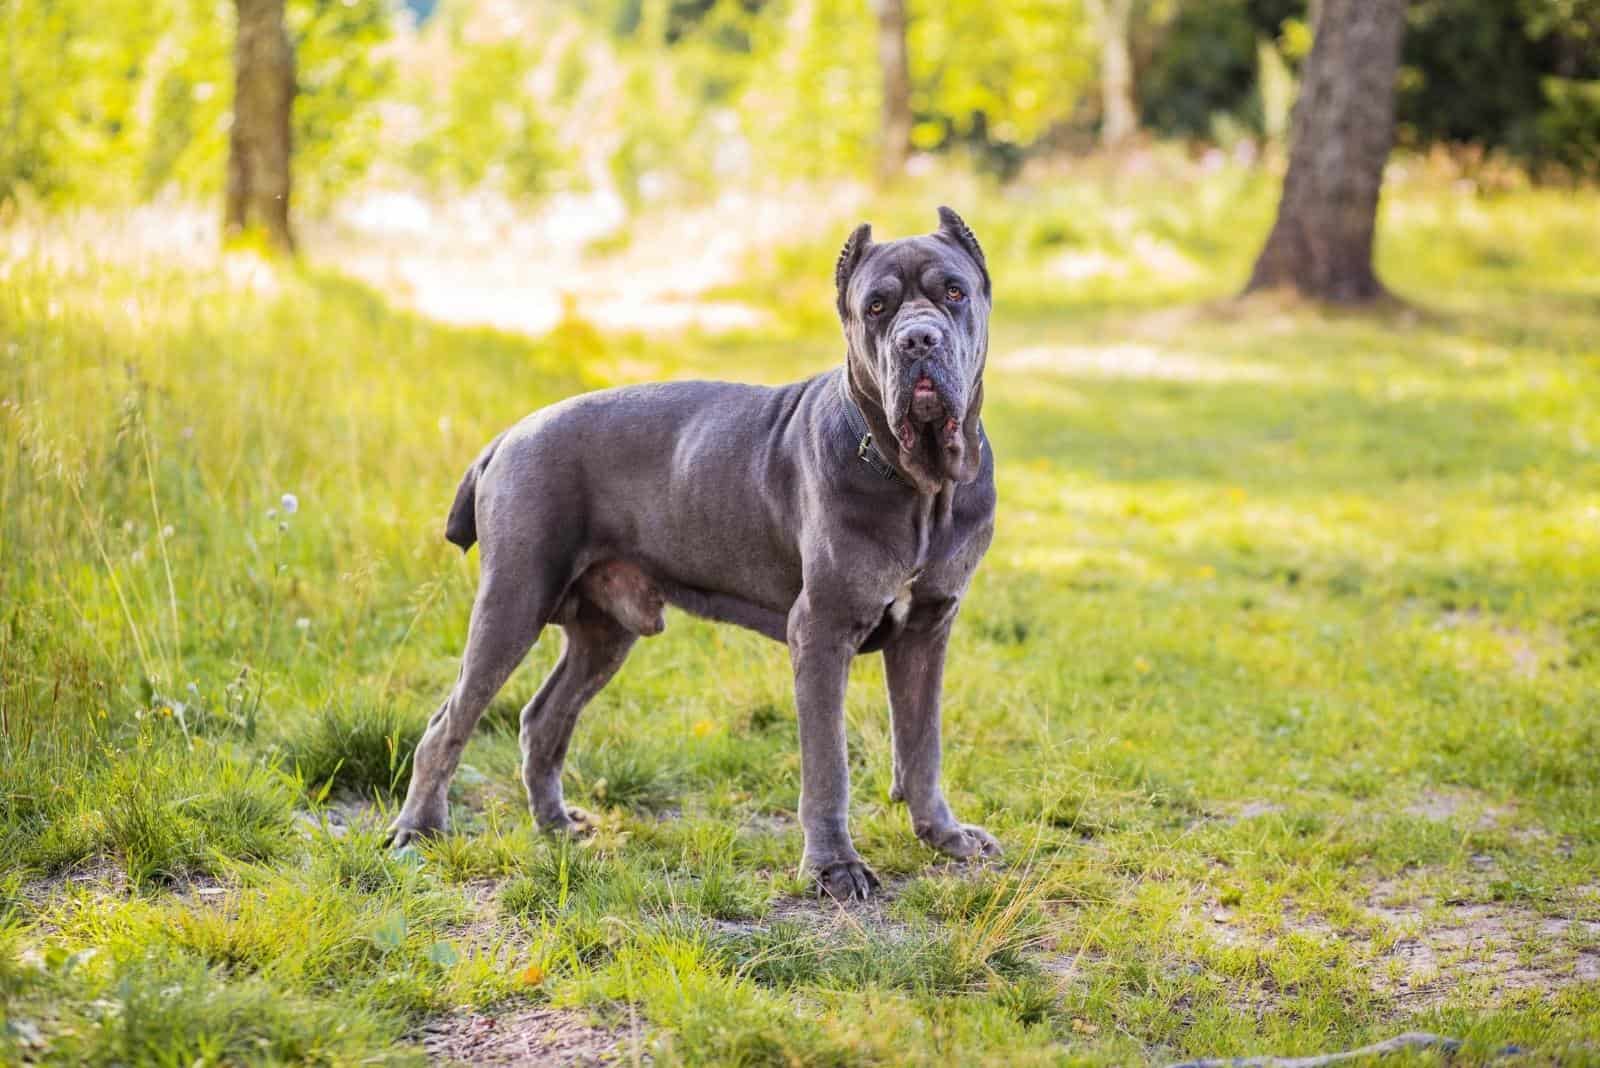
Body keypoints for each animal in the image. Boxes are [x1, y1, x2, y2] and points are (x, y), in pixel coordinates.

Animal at [384, 204, 998, 895]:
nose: (918, 340)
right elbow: (828, 763)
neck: (921, 483)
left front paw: (945, 837)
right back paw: (416, 831)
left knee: (543, 718)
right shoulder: (821, 630)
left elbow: (922, 744)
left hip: (604, 632)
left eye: (954, 292)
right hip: (513, 601)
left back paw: (557, 826)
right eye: (877, 307)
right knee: (448, 723)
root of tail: (508, 435)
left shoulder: (928, 628)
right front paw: (834, 866)